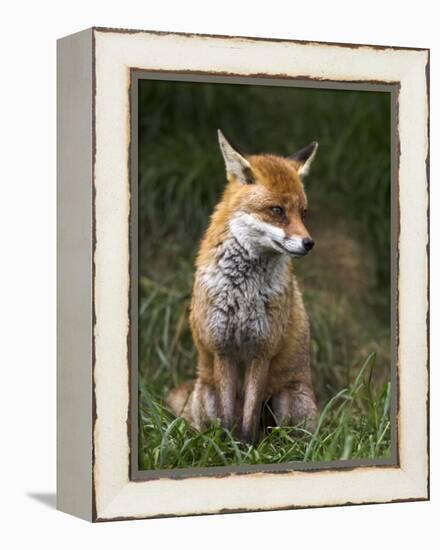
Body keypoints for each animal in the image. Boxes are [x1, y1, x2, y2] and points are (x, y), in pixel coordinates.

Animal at [167, 132, 318, 446]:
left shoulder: (262, 350)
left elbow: (248, 420)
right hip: (206, 393)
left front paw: (248, 449)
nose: (309, 243)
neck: (243, 291)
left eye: (303, 213)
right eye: (277, 210)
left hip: (287, 399)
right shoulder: (223, 348)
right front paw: (229, 449)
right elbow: (228, 418)